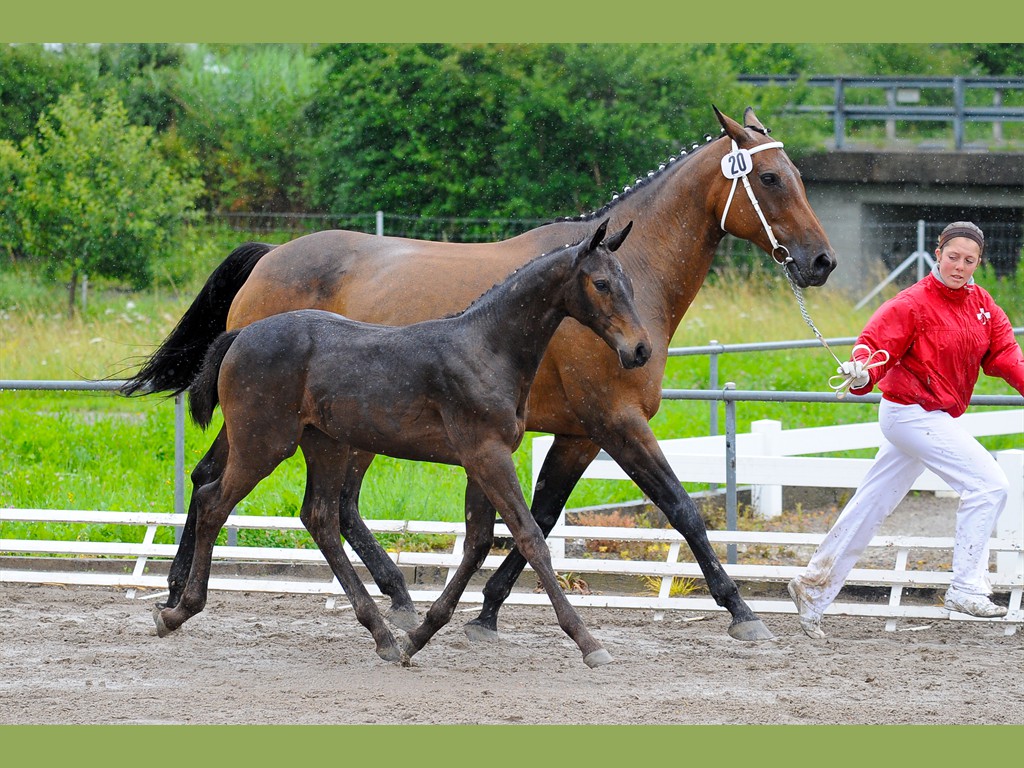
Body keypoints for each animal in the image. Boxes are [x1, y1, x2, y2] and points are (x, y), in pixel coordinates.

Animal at [153, 222, 647, 667]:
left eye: (629, 282)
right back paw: (178, 610)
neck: (486, 348)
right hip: (264, 445)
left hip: (325, 445)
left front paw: (420, 636)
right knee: (214, 500)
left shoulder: (479, 463)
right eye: (601, 283)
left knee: (319, 518)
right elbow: (529, 538)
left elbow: (478, 543)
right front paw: (588, 643)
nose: (639, 351)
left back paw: (384, 636)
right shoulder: (487, 456)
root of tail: (242, 336)